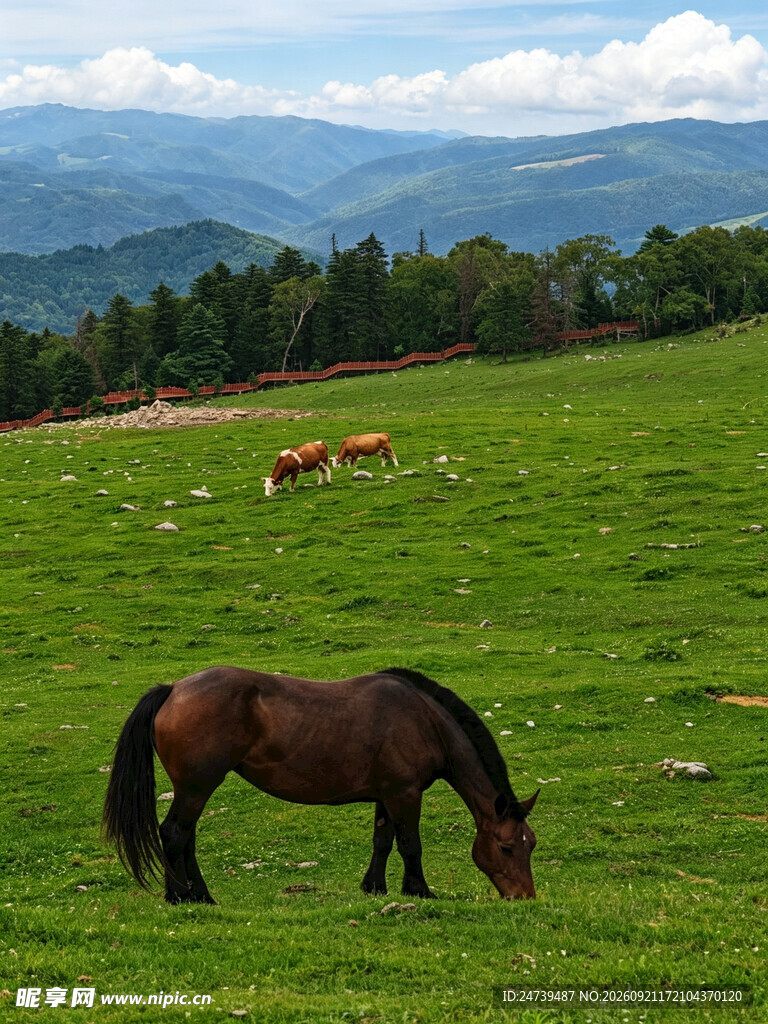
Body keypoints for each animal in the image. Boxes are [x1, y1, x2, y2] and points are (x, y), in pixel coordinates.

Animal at [102, 666, 539, 904]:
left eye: (530, 844)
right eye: (505, 847)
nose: (524, 897)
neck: (424, 720)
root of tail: (173, 690)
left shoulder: (387, 795)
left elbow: (382, 842)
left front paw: (374, 888)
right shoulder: (405, 794)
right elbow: (409, 845)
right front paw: (418, 890)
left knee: (185, 837)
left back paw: (200, 896)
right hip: (196, 787)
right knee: (174, 834)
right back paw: (182, 895)